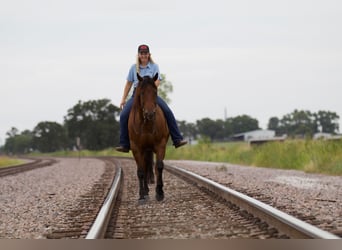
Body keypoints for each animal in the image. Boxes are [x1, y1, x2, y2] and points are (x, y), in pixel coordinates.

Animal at [128, 73, 170, 203]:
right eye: (141, 93)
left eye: (155, 92)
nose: (150, 114)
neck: (146, 124)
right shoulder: (136, 148)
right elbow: (141, 171)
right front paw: (141, 195)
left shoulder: (161, 145)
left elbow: (159, 166)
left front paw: (160, 193)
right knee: (144, 167)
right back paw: (145, 192)